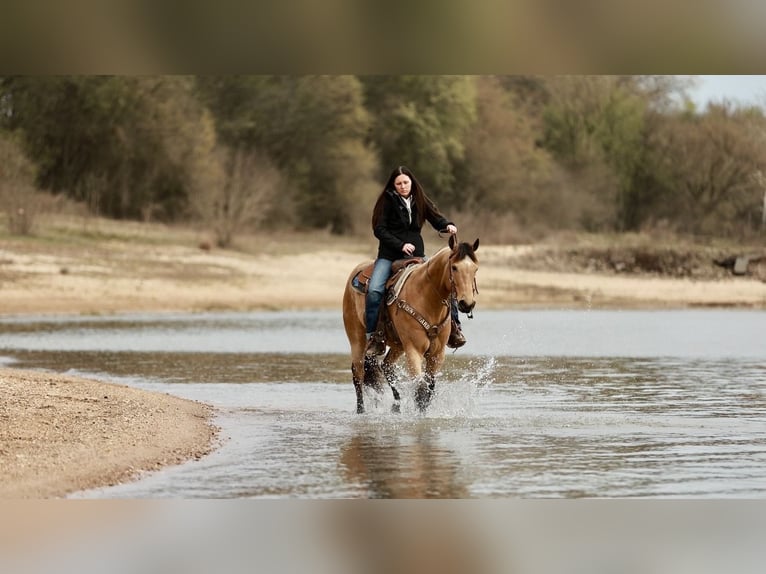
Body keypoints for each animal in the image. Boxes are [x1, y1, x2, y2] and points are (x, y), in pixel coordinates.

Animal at [342, 235, 479, 414]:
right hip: (357, 339)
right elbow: (420, 390)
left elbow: (429, 389)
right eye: (454, 267)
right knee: (358, 374)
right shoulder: (414, 349)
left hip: (398, 345)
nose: (467, 303)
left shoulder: (437, 354)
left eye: (475, 269)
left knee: (387, 366)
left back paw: (396, 406)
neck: (426, 296)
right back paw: (361, 411)